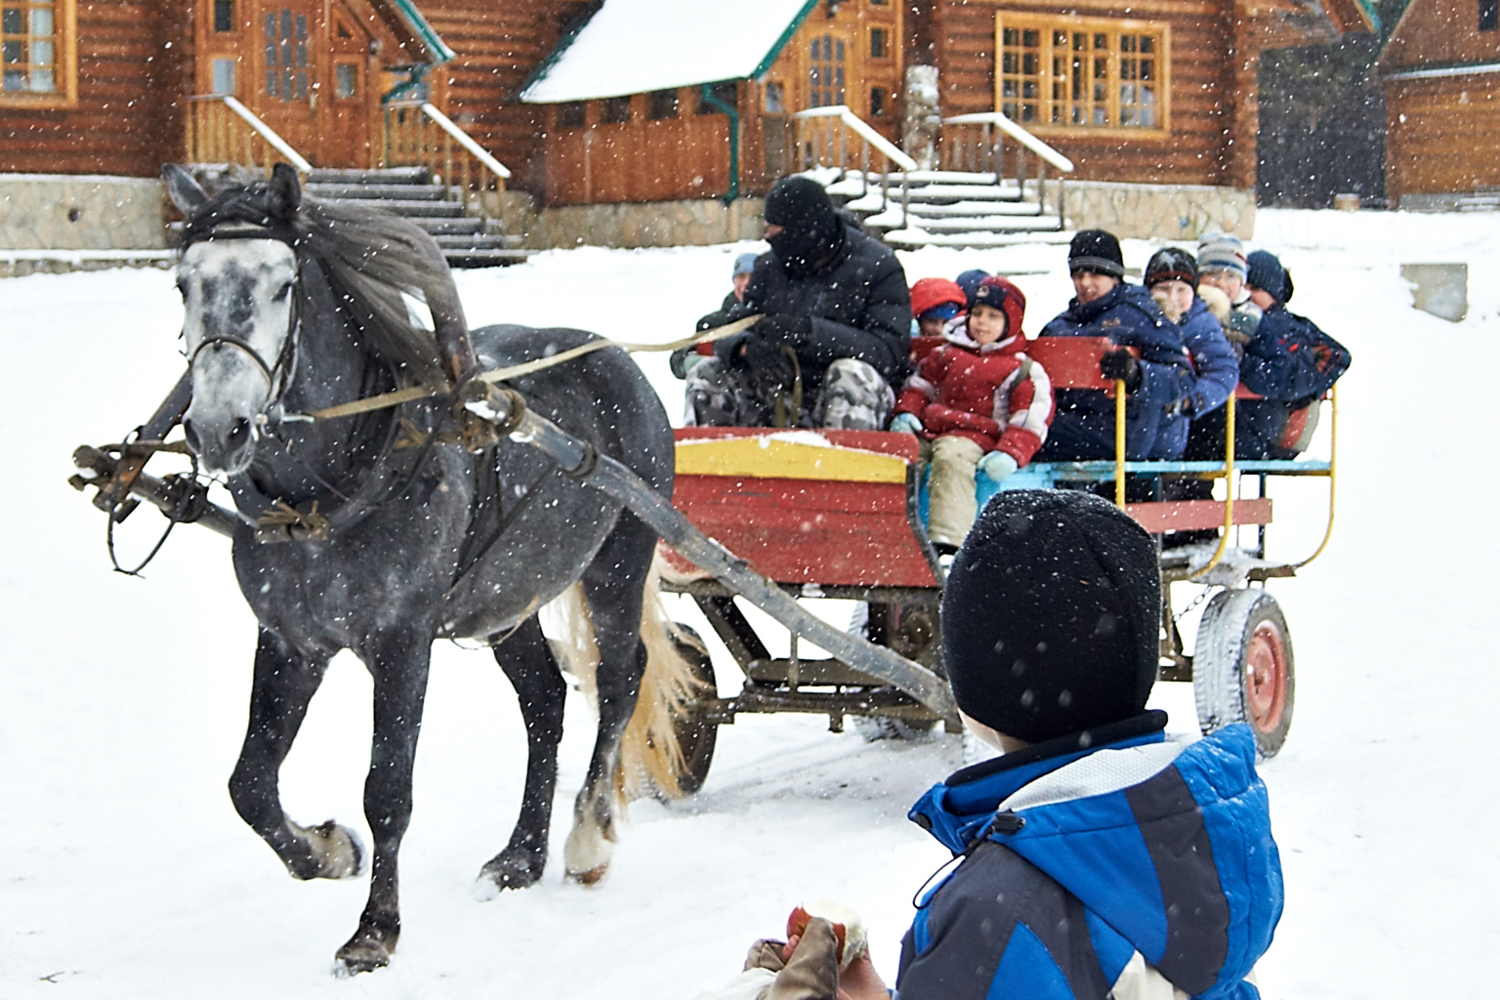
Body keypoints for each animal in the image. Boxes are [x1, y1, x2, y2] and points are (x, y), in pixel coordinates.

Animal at [167, 166, 684, 977]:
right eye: (184, 283)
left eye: (282, 285)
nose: (220, 430)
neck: (323, 496)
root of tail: (615, 357)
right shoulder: (290, 641)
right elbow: (249, 783)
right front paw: (326, 851)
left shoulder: (402, 642)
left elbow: (388, 789)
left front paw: (375, 929)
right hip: (507, 597)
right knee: (544, 701)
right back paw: (520, 855)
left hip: (617, 565)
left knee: (619, 681)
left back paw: (585, 836)